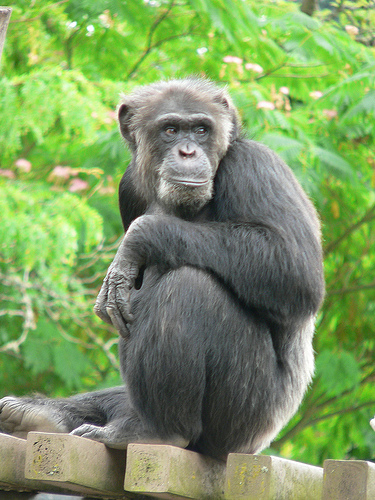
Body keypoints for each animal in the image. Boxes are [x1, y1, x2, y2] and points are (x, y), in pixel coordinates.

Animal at [0, 79, 324, 460]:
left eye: (201, 130)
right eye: (170, 130)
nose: (187, 152)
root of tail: (258, 446)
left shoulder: (256, 166)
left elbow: (294, 270)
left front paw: (136, 242)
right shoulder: (128, 187)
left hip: (245, 418)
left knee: (190, 287)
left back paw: (158, 431)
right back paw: (45, 414)